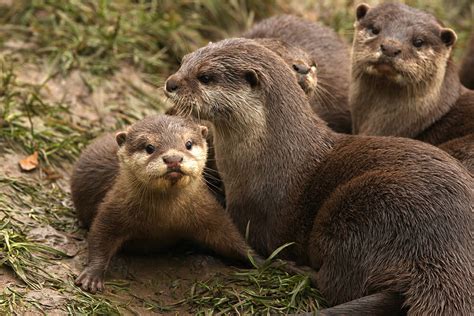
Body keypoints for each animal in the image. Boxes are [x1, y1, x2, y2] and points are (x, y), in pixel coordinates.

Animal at [70, 115, 258, 292]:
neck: (164, 218)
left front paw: (259, 261)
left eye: (188, 144)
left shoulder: (209, 210)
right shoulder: (114, 206)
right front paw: (92, 275)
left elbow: (230, 236)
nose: (173, 158)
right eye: (149, 147)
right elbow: (100, 236)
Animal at [164, 38, 474, 314]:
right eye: (183, 61)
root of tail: (443, 252)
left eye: (205, 76)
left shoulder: (251, 212)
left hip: (365, 212)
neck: (271, 153)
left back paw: (296, 269)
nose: (170, 83)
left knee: (338, 283)